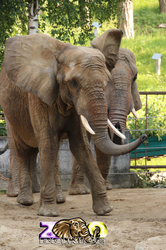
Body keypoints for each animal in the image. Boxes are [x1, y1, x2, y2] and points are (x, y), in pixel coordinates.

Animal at [68, 47, 142, 194]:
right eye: (107, 80)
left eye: (135, 77)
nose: (118, 126)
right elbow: (84, 139)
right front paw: (80, 191)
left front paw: (106, 187)